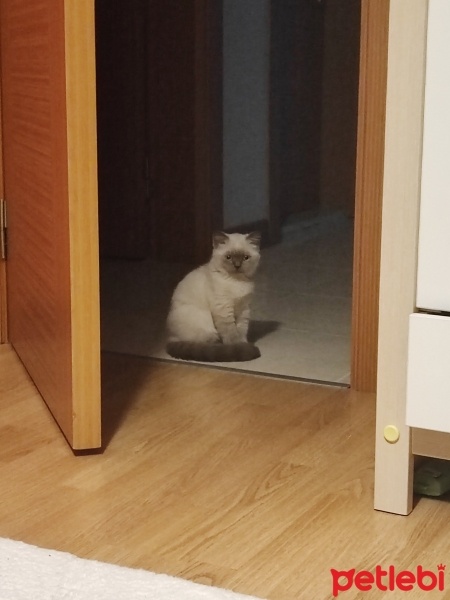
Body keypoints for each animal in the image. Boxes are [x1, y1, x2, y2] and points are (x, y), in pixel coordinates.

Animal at [167, 231, 262, 360]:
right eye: (228, 257)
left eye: (245, 258)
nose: (237, 265)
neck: (237, 282)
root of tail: (169, 337)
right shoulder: (223, 309)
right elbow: (231, 333)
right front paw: (238, 347)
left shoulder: (244, 308)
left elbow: (241, 329)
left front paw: (243, 343)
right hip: (205, 322)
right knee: (206, 345)